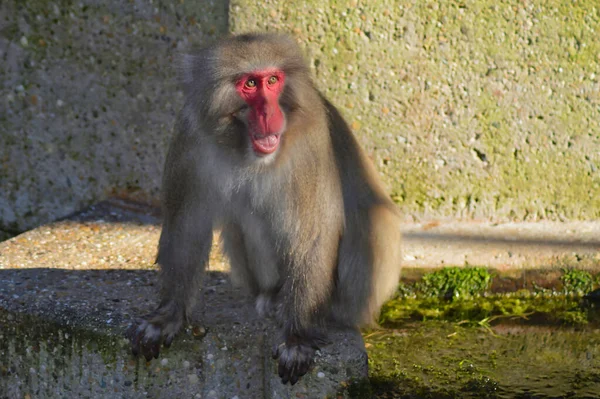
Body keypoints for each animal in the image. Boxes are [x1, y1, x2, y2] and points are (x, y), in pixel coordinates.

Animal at [130, 33, 404, 384]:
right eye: (250, 83)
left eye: (273, 81)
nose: (268, 113)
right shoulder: (190, 134)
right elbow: (186, 228)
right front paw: (166, 316)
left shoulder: (312, 141)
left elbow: (312, 235)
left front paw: (298, 336)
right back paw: (272, 296)